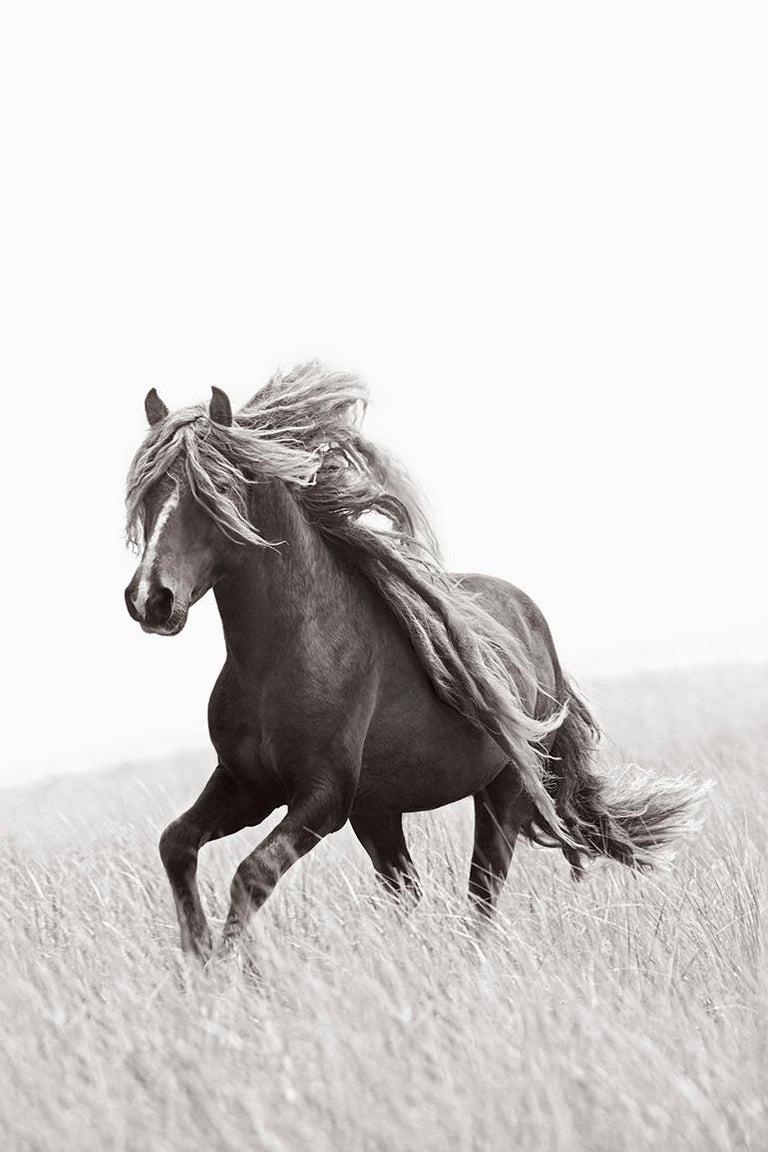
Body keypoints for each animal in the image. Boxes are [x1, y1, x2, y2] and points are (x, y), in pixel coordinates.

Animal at [124, 363, 706, 961]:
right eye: (147, 491)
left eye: (216, 489)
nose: (151, 599)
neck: (283, 657)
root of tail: (532, 624)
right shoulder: (247, 786)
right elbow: (176, 843)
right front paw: (197, 957)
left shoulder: (322, 799)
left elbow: (253, 872)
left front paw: (230, 966)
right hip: (378, 811)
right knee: (409, 891)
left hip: (500, 793)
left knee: (482, 890)